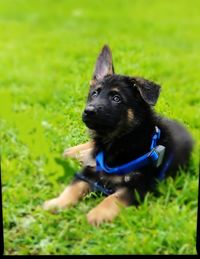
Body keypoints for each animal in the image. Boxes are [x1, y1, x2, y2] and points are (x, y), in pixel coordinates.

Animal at [44, 45, 194, 226]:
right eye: (95, 93)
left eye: (116, 98)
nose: (88, 111)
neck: (118, 141)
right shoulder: (88, 171)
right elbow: (73, 187)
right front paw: (57, 203)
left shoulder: (139, 185)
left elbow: (114, 198)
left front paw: (97, 214)